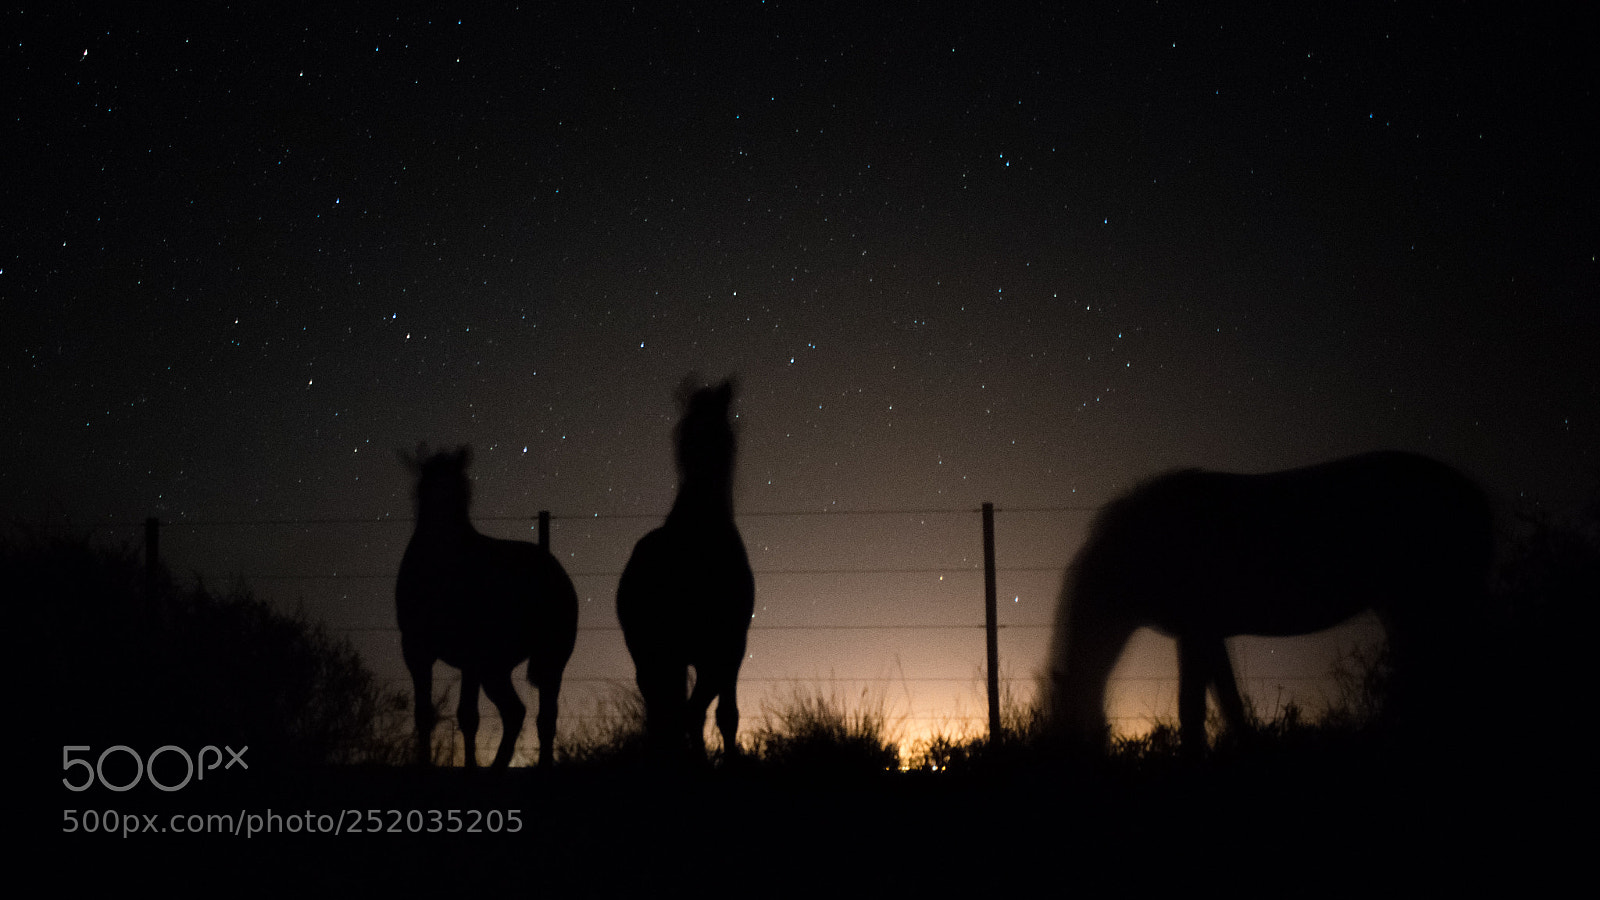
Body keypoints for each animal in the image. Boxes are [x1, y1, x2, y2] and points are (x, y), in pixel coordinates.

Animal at [396, 445, 578, 768]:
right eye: (425, 488)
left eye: (458, 491)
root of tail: (556, 570)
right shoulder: (417, 650)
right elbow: (424, 715)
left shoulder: (471, 654)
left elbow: (468, 717)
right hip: (497, 668)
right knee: (516, 712)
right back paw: (499, 764)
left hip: (550, 657)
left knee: (544, 717)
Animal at [617, 376, 756, 760]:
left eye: (721, 432)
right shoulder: (719, 651)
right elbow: (702, 715)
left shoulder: (728, 649)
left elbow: (720, 715)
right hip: (657, 658)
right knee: (668, 713)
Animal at [1045, 450, 1493, 752]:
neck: (1146, 543)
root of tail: (1473, 493)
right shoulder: (1205, 635)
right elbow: (1226, 701)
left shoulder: (1197, 631)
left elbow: (1193, 706)